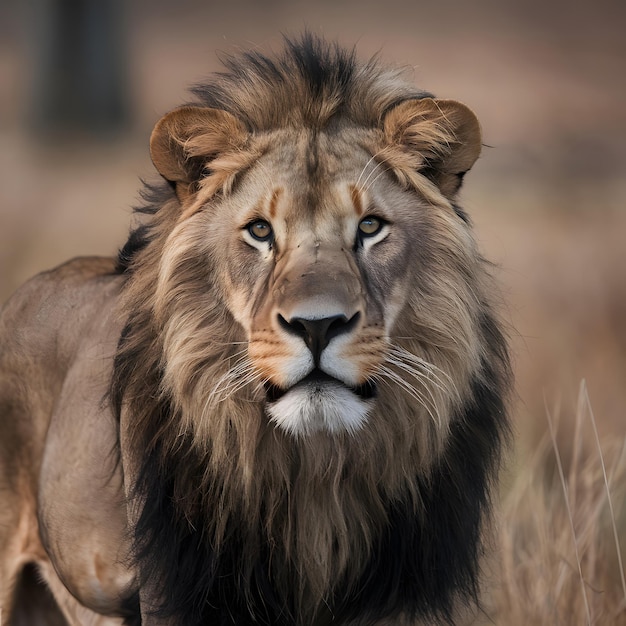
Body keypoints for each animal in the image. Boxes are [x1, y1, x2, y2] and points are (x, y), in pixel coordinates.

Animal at [0, 35, 508, 624]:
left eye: (371, 227)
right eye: (261, 231)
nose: (318, 325)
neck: (316, 473)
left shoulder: (403, 595)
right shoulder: (175, 591)